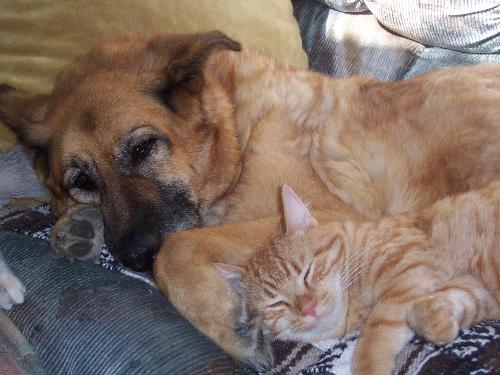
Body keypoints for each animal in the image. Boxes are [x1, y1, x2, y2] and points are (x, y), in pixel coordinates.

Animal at [217, 185, 500, 375]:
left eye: (308, 272)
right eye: (277, 304)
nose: (309, 308)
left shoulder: (411, 263)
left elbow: (376, 331)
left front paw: (369, 365)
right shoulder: (477, 289)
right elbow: (452, 300)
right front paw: (438, 319)